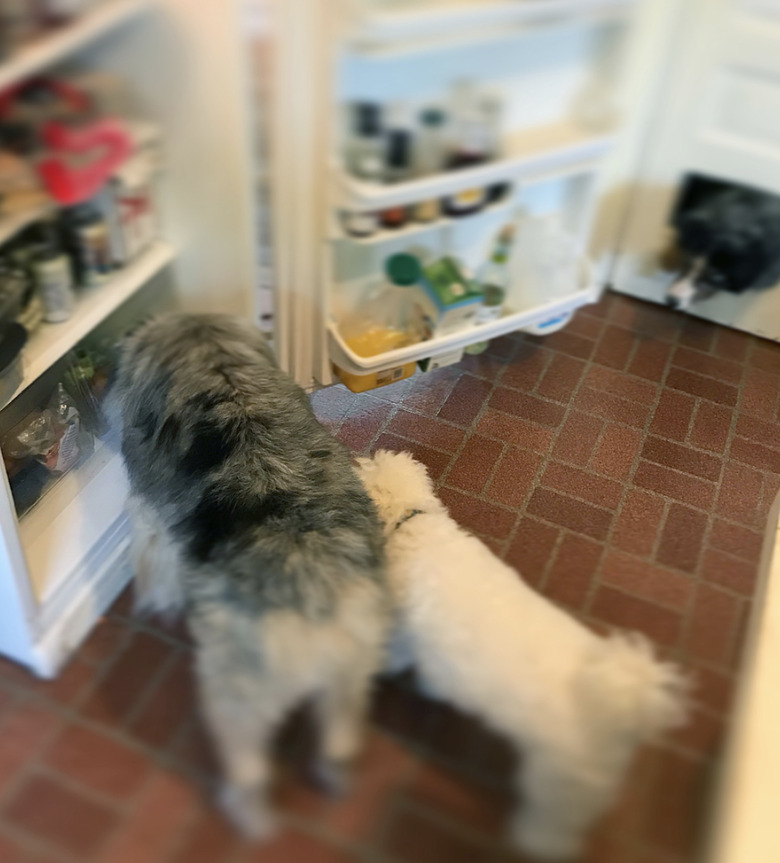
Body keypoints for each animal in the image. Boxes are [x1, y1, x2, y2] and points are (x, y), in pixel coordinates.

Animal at [109, 314, 390, 840]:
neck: (218, 367)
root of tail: (312, 596)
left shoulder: (148, 516)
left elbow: (154, 563)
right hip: (351, 675)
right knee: (339, 741)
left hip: (234, 697)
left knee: (249, 771)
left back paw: (249, 819)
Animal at [354, 448, 688, 860]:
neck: (412, 521)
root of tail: (625, 709)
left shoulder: (407, 628)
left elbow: (395, 654)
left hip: (558, 782)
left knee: (553, 827)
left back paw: (532, 841)